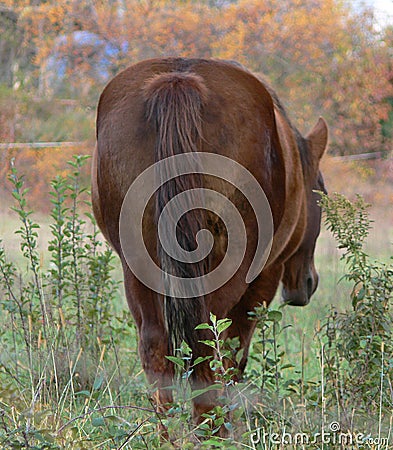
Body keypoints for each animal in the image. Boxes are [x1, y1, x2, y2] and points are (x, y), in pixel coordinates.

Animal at [90, 57, 326, 426]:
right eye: (321, 196)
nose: (307, 283)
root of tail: (178, 82)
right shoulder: (263, 278)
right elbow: (234, 354)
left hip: (138, 270)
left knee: (156, 347)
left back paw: (172, 430)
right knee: (207, 342)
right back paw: (212, 426)